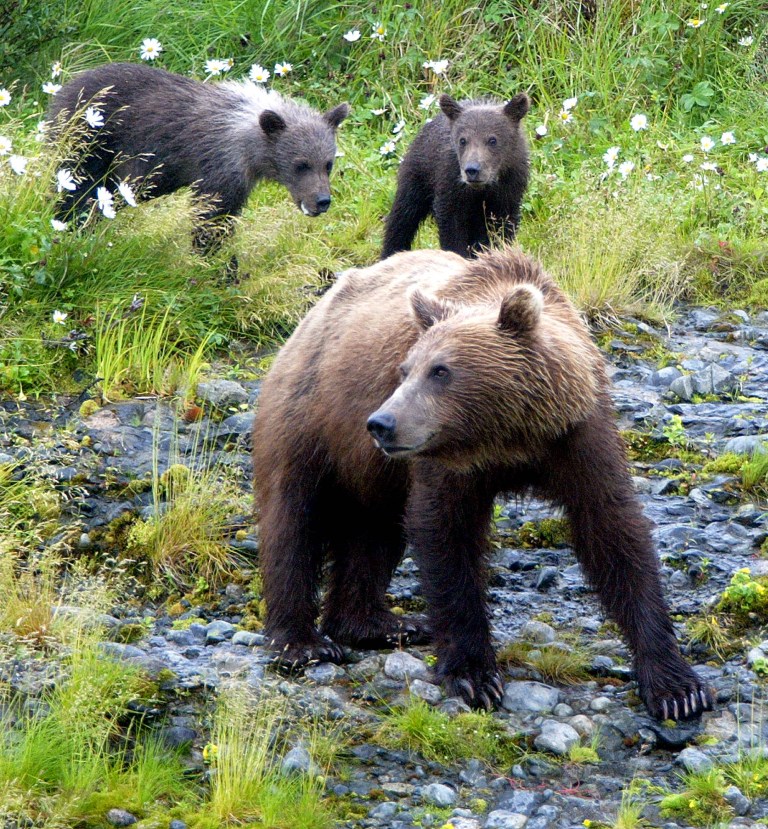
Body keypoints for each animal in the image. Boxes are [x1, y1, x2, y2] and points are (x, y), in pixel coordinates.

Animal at [47, 62, 349, 251]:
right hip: (89, 143)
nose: (322, 200)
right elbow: (210, 220)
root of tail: (65, 87)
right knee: (76, 191)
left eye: (328, 164)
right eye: (301, 164)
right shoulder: (218, 170)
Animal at [252, 246, 713, 721]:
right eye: (405, 369)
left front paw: (677, 687)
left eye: (440, 371)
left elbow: (613, 530)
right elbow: (445, 535)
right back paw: (302, 644)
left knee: (374, 529)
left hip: (373, 470)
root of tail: (312, 316)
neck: (508, 437)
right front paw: (474, 675)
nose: (381, 423)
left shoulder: (578, 436)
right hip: (308, 417)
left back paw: (379, 623)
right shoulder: (447, 462)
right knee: (293, 522)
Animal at [381, 93, 530, 260]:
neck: (482, 189)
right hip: (418, 176)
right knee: (404, 215)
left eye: (492, 139)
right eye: (463, 140)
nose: (472, 170)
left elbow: (503, 228)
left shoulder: (509, 189)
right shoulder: (450, 186)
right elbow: (451, 227)